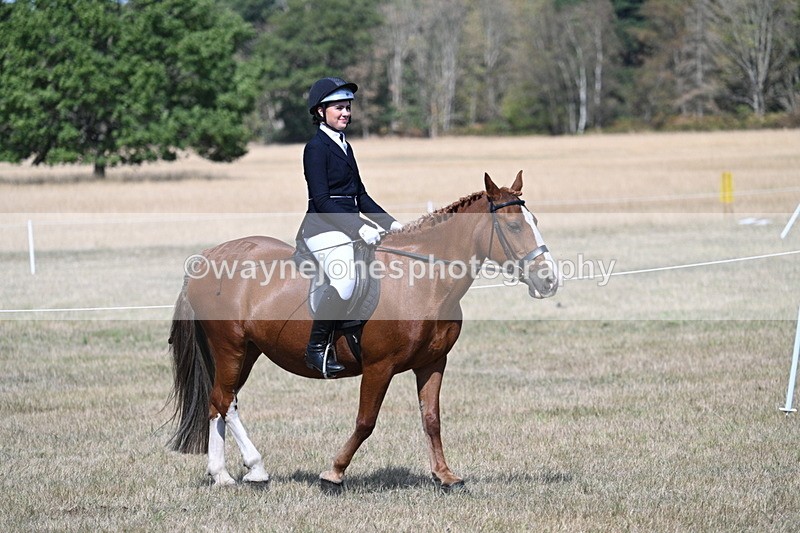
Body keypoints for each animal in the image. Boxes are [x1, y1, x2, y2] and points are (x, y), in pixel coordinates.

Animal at [167, 171, 559, 491]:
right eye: (514, 227)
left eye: (535, 220)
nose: (549, 279)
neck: (423, 281)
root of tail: (207, 258)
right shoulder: (378, 367)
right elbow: (366, 421)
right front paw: (334, 473)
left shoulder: (432, 363)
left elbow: (431, 419)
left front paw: (445, 476)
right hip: (230, 346)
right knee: (224, 402)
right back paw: (255, 469)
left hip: (246, 350)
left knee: (220, 401)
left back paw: (221, 475)